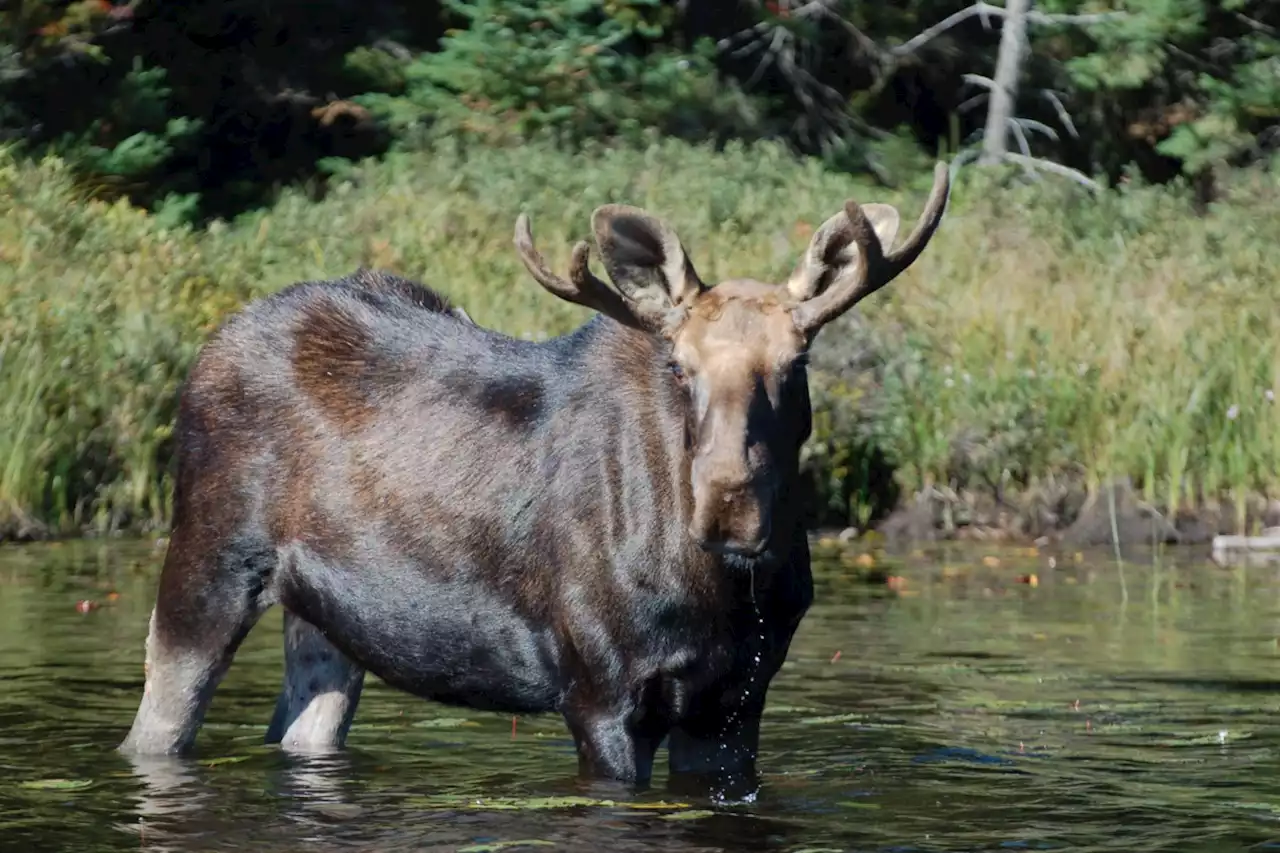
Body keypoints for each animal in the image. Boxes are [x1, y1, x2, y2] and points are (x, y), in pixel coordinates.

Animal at [120, 162, 952, 788]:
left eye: (797, 363)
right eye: (680, 367)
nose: (730, 510)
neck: (721, 596)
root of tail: (212, 344)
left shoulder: (735, 702)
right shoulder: (598, 692)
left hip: (325, 618)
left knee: (298, 729)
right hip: (206, 563)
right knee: (153, 727)